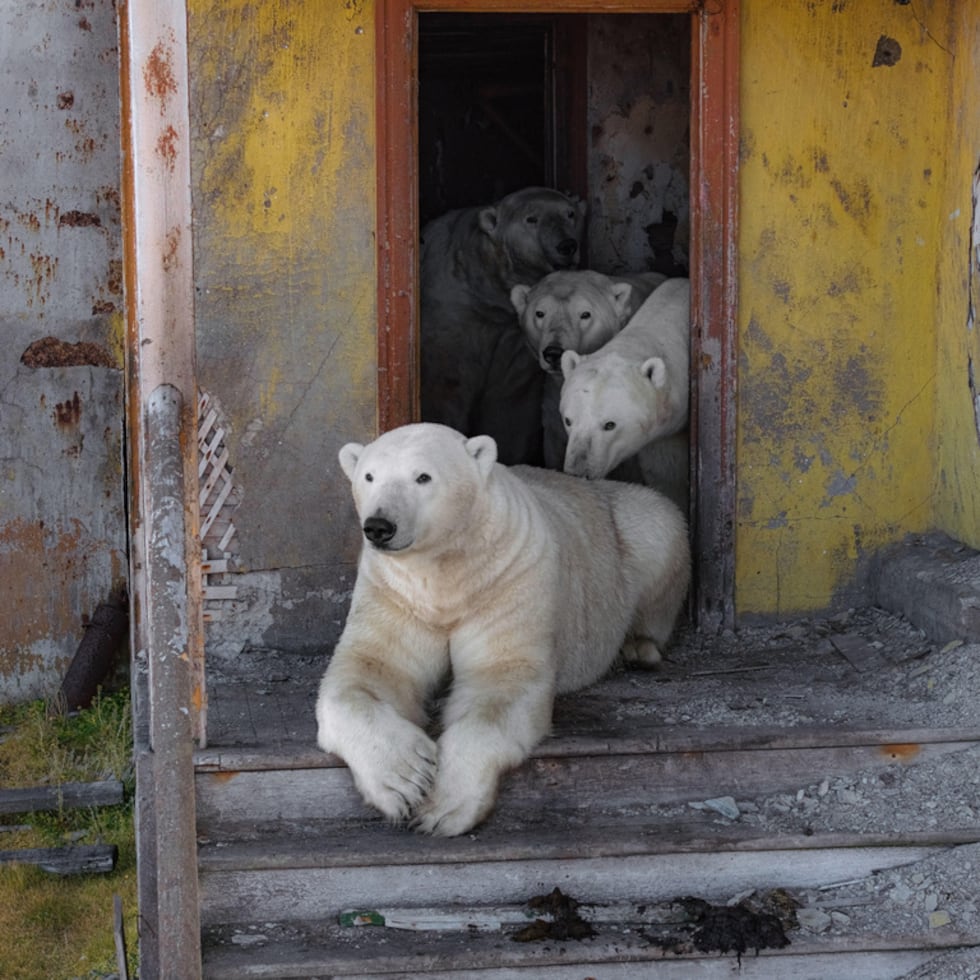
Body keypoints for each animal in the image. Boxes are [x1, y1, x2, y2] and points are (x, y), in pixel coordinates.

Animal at [315, 422, 690, 837]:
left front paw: (443, 807)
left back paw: (639, 649)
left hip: (633, 530)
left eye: (423, 477)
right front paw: (404, 779)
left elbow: (500, 681)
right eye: (369, 476)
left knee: (661, 530)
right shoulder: (396, 592)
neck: (447, 571)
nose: (379, 526)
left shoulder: (507, 580)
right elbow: (371, 668)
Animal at [420, 187, 587, 466]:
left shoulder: (514, 335)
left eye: (570, 214)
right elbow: (447, 384)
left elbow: (511, 400)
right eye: (532, 219)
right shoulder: (455, 315)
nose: (567, 245)